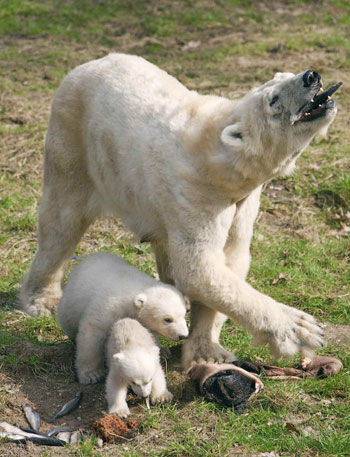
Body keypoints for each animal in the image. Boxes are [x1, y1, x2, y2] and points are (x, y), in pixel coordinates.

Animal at [20, 53, 338, 366]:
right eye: (273, 98)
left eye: (284, 75)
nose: (311, 76)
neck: (219, 163)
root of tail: (86, 64)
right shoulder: (196, 194)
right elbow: (199, 266)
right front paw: (302, 329)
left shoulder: (242, 202)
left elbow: (231, 259)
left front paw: (206, 349)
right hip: (73, 139)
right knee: (62, 220)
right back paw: (41, 301)